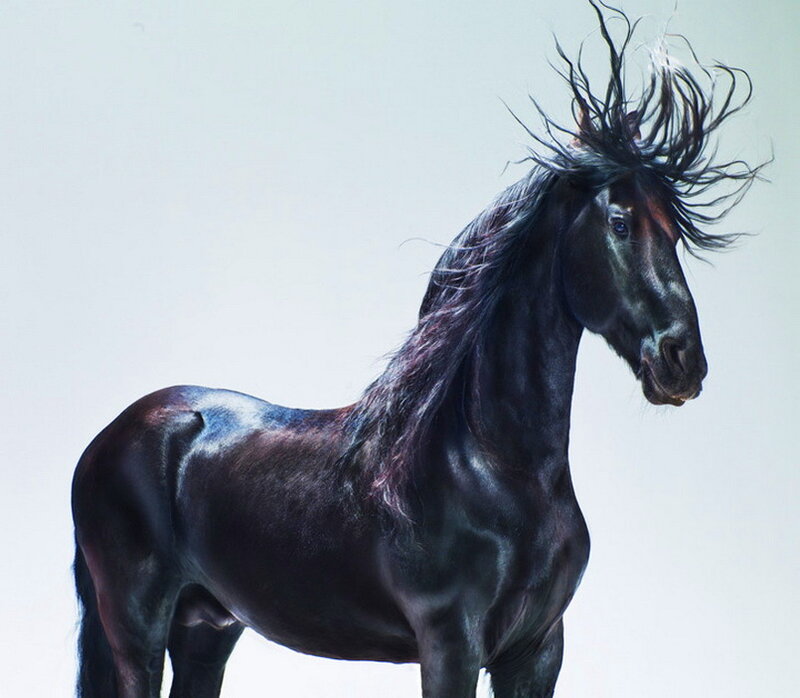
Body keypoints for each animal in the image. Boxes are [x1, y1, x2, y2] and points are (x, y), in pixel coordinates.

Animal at [71, 3, 763, 696]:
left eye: (674, 234)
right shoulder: (450, 645)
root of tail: (113, 435)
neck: (489, 466)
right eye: (620, 223)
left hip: (208, 627)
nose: (683, 362)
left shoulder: (538, 651)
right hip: (137, 625)